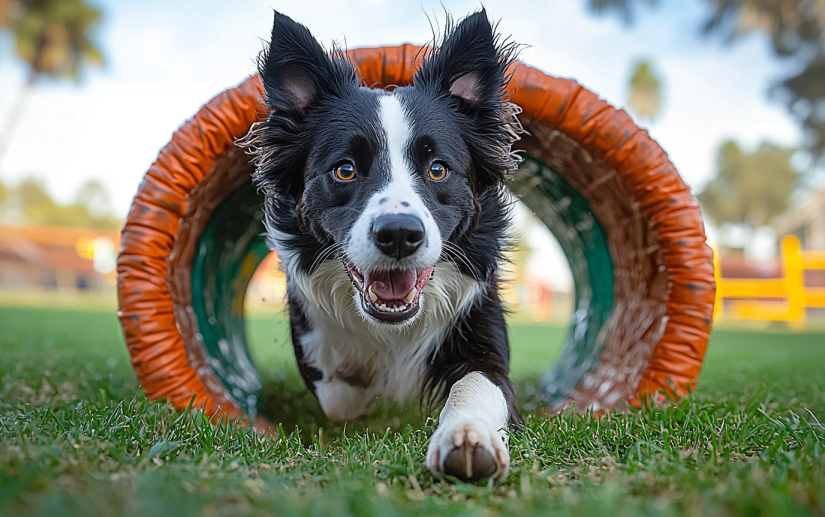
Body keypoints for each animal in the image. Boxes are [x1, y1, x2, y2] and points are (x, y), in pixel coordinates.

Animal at [245, 8, 524, 482]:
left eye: (437, 169)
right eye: (344, 170)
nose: (398, 234)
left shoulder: (483, 331)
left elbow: (477, 383)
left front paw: (468, 437)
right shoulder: (311, 334)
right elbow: (339, 391)